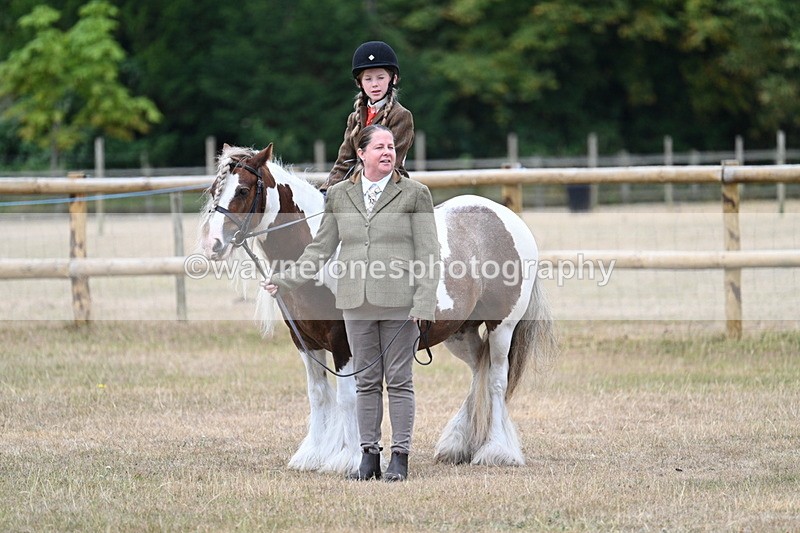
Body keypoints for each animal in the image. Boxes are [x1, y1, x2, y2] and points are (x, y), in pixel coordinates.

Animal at [197, 143, 557, 474]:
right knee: (478, 371)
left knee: (495, 379)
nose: (212, 245)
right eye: (215, 190)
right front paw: (313, 455)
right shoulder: (304, 341)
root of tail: (506, 218)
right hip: (460, 333)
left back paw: (496, 451)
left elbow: (347, 396)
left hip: (502, 327)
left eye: (243, 190)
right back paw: (458, 444)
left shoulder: (343, 340)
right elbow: (318, 394)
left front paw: (347, 459)